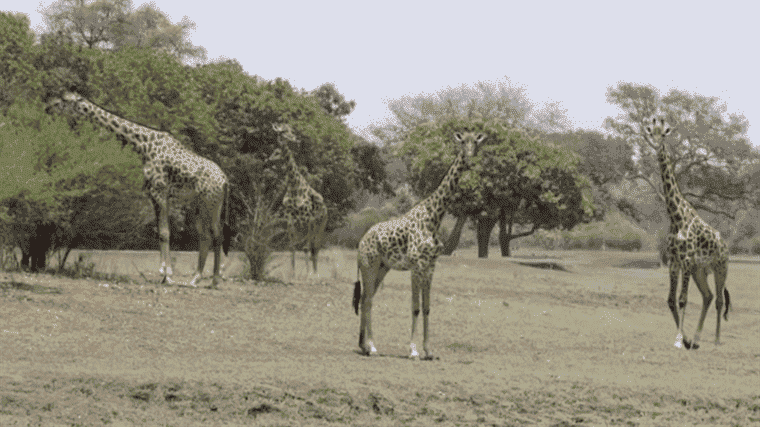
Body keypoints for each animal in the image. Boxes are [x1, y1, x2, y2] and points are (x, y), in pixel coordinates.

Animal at [46, 92, 230, 290]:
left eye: (65, 99)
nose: (48, 107)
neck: (143, 144)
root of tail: (225, 180)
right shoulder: (155, 194)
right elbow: (161, 232)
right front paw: (165, 275)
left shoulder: (159, 190)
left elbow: (165, 232)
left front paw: (167, 274)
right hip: (201, 205)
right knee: (206, 235)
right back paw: (196, 279)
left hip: (211, 203)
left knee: (216, 235)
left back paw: (214, 279)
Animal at [272, 123, 328, 278]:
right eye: (284, 131)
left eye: (292, 130)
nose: (295, 139)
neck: (294, 185)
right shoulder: (290, 219)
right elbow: (292, 247)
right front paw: (292, 273)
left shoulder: (308, 219)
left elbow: (305, 248)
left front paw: (308, 274)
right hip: (305, 227)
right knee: (311, 248)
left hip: (320, 226)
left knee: (315, 248)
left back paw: (315, 273)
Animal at [354, 130, 484, 362]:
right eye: (462, 143)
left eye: (476, 144)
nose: (469, 159)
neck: (434, 217)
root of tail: (361, 242)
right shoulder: (416, 266)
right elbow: (414, 307)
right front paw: (413, 351)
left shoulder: (431, 266)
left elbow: (427, 308)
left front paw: (429, 351)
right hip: (369, 266)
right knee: (368, 300)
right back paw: (373, 347)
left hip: (382, 268)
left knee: (364, 299)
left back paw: (364, 346)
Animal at [640, 118, 732, 352]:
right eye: (651, 133)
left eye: (663, 134)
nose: (656, 146)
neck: (676, 216)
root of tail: (725, 244)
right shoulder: (675, 261)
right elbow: (671, 300)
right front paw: (686, 339)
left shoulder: (687, 260)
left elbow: (683, 299)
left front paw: (679, 340)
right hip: (701, 271)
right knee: (708, 297)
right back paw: (697, 340)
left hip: (721, 267)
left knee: (719, 300)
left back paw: (717, 340)